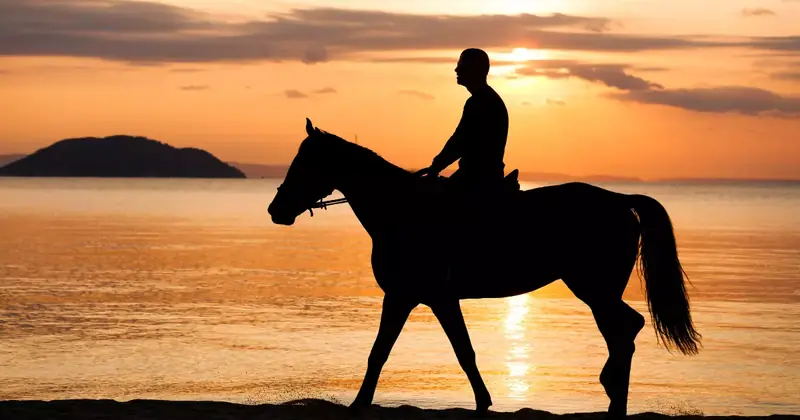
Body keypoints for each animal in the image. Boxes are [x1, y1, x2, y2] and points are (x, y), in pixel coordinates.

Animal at [267, 119, 701, 418]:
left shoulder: (410, 296)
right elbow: (458, 350)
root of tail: (621, 200)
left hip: (593, 289)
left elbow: (392, 352)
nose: (276, 209)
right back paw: (614, 399)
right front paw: (482, 400)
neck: (402, 210)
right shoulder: (430, 299)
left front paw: (358, 404)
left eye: (305, 163)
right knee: (625, 330)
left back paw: (612, 392)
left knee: (624, 330)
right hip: (597, 291)